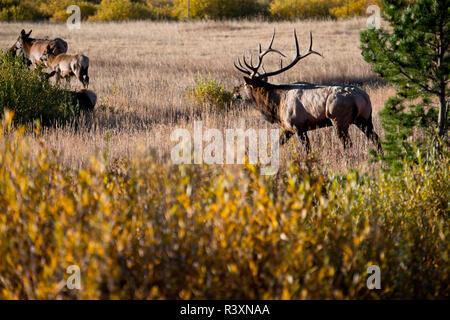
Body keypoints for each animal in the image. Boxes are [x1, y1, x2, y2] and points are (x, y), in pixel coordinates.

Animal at [232, 29, 384, 154]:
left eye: (244, 84)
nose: (235, 91)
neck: (276, 106)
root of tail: (363, 97)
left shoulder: (298, 126)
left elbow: (307, 150)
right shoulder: (287, 128)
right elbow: (276, 145)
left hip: (339, 119)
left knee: (347, 144)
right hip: (365, 119)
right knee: (376, 140)